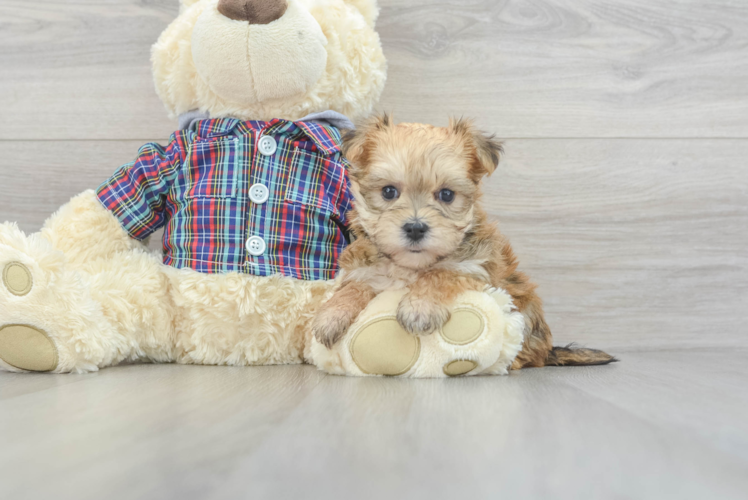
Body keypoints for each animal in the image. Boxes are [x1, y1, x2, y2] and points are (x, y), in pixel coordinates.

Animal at [312, 116, 616, 368]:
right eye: (388, 192)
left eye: (447, 195)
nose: (415, 228)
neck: (410, 266)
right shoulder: (367, 270)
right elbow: (355, 285)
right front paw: (331, 315)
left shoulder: (475, 269)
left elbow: (441, 272)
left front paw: (419, 307)